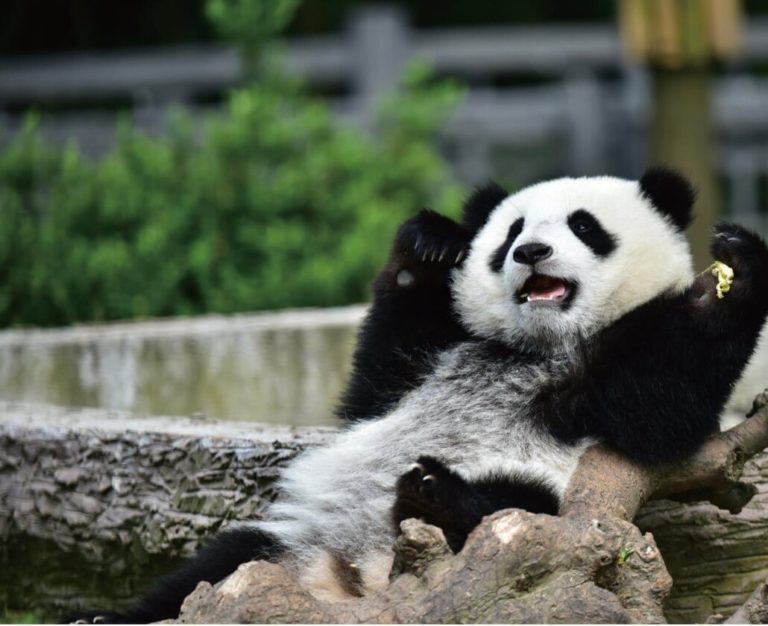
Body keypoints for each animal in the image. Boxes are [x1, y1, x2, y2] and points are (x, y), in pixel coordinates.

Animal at [71, 167, 768, 623]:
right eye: (510, 230)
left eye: (583, 225)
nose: (531, 251)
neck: (537, 348)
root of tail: (361, 582)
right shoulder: (426, 362)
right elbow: (376, 379)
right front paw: (431, 244)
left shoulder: (605, 397)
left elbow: (662, 404)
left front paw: (732, 275)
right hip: (283, 551)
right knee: (209, 571)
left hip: (541, 500)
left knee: (512, 508)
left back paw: (438, 496)